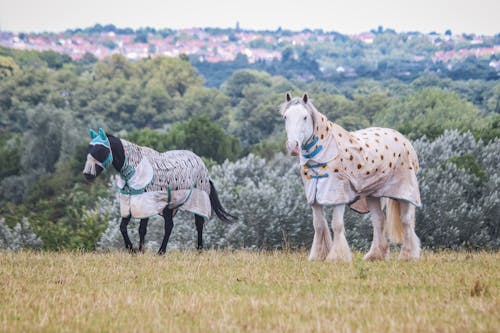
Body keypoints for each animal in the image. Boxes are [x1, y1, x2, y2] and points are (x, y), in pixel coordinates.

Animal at [83, 128, 235, 253]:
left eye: (101, 150)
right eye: (89, 149)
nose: (87, 174)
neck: (136, 167)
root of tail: (202, 165)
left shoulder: (145, 203)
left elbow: (142, 229)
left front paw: (139, 250)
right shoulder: (130, 202)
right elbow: (123, 227)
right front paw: (132, 249)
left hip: (197, 202)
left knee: (199, 224)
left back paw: (198, 250)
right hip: (168, 207)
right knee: (169, 226)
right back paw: (162, 251)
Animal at [282, 93, 422, 262]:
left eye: (304, 117)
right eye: (285, 117)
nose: (293, 146)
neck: (322, 154)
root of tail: (403, 139)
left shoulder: (338, 195)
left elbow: (336, 225)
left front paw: (337, 257)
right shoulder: (314, 198)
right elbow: (319, 225)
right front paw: (317, 256)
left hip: (404, 192)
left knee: (406, 221)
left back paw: (408, 255)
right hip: (373, 195)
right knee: (379, 220)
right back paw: (375, 255)